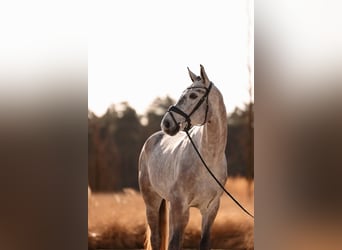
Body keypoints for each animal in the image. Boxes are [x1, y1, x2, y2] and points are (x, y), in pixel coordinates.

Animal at [138, 65, 228, 249]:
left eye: (193, 95)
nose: (166, 123)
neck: (209, 158)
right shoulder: (181, 207)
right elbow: (174, 243)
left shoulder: (211, 209)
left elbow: (204, 242)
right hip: (152, 202)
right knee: (156, 239)